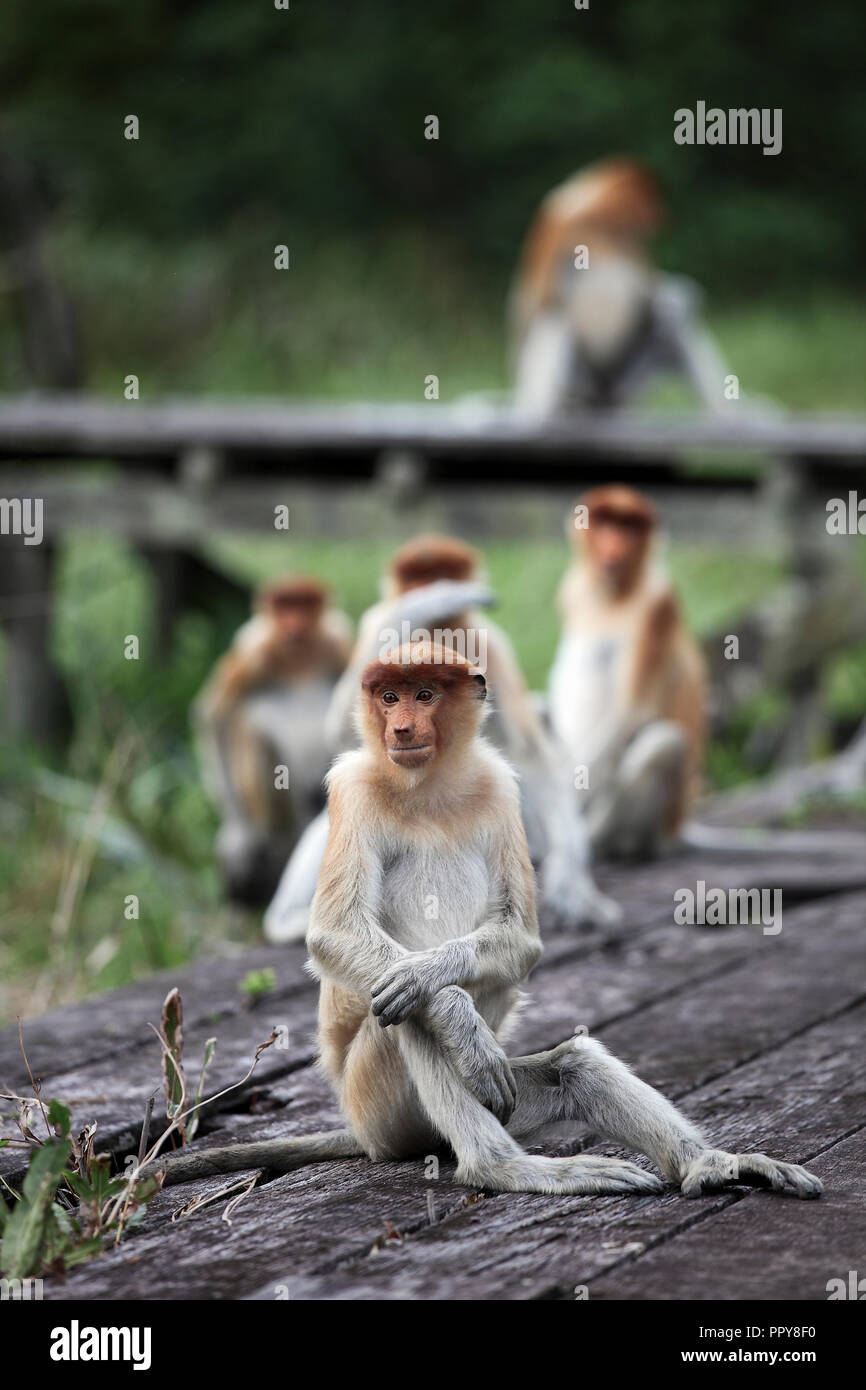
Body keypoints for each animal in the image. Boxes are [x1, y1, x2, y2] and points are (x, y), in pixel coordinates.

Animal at [148, 641, 820, 1203]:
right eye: (388, 696)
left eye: (425, 694)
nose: (400, 728)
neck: (426, 786)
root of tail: (362, 1133)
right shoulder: (353, 788)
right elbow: (339, 938)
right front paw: (452, 1011)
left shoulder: (499, 785)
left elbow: (520, 937)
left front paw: (441, 982)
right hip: (375, 1103)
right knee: (400, 1010)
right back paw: (501, 1165)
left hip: (492, 1104)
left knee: (574, 1064)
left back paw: (712, 1164)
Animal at [195, 576, 352, 905]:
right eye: (284, 605)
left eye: (305, 604)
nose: (294, 625)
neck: (299, 660)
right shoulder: (253, 651)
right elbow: (214, 715)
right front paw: (240, 835)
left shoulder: (336, 643)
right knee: (255, 731)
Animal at [263, 534, 619, 942]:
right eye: (416, 578)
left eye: (443, 570)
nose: (430, 586)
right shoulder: (375, 628)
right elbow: (342, 733)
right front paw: (438, 599)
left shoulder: (490, 644)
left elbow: (529, 755)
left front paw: (572, 884)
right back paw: (289, 920)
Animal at [510, 157, 729, 415]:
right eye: (652, 202)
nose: (662, 216)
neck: (596, 215)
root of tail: (607, 396)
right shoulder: (559, 234)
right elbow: (542, 308)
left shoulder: (630, 247)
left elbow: (655, 297)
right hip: (588, 381)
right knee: (556, 317)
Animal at [549, 486, 707, 859]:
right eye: (606, 522)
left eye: (630, 526)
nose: (614, 547)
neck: (615, 594)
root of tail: (678, 831)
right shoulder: (574, 590)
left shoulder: (657, 605)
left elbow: (634, 712)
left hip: (659, 826)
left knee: (663, 744)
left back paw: (600, 845)